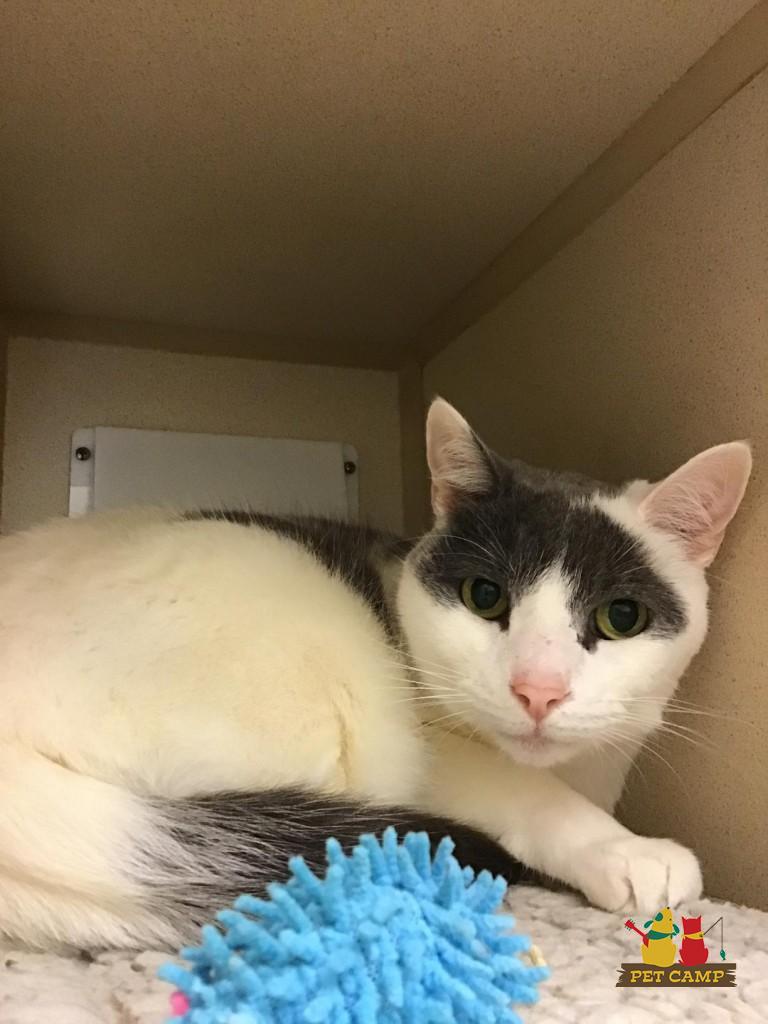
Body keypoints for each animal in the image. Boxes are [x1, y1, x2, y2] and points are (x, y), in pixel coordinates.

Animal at [0, 398, 751, 950]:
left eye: (620, 616)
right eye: (485, 597)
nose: (538, 689)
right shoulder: (432, 746)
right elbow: (523, 792)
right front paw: (624, 849)